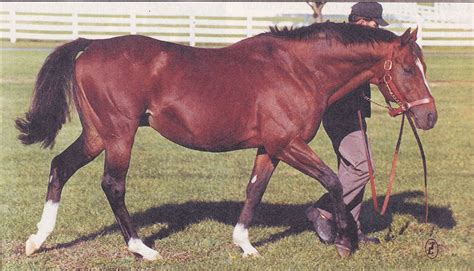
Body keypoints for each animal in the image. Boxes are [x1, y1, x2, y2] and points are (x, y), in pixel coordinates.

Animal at [15, 22, 436, 260]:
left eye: (424, 66)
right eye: (406, 68)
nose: (429, 117)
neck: (297, 70)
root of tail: (91, 45)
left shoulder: (269, 149)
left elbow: (254, 191)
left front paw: (245, 245)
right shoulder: (287, 144)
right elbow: (333, 181)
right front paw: (346, 242)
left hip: (97, 135)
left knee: (60, 167)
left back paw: (37, 240)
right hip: (119, 135)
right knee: (112, 185)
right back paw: (142, 249)